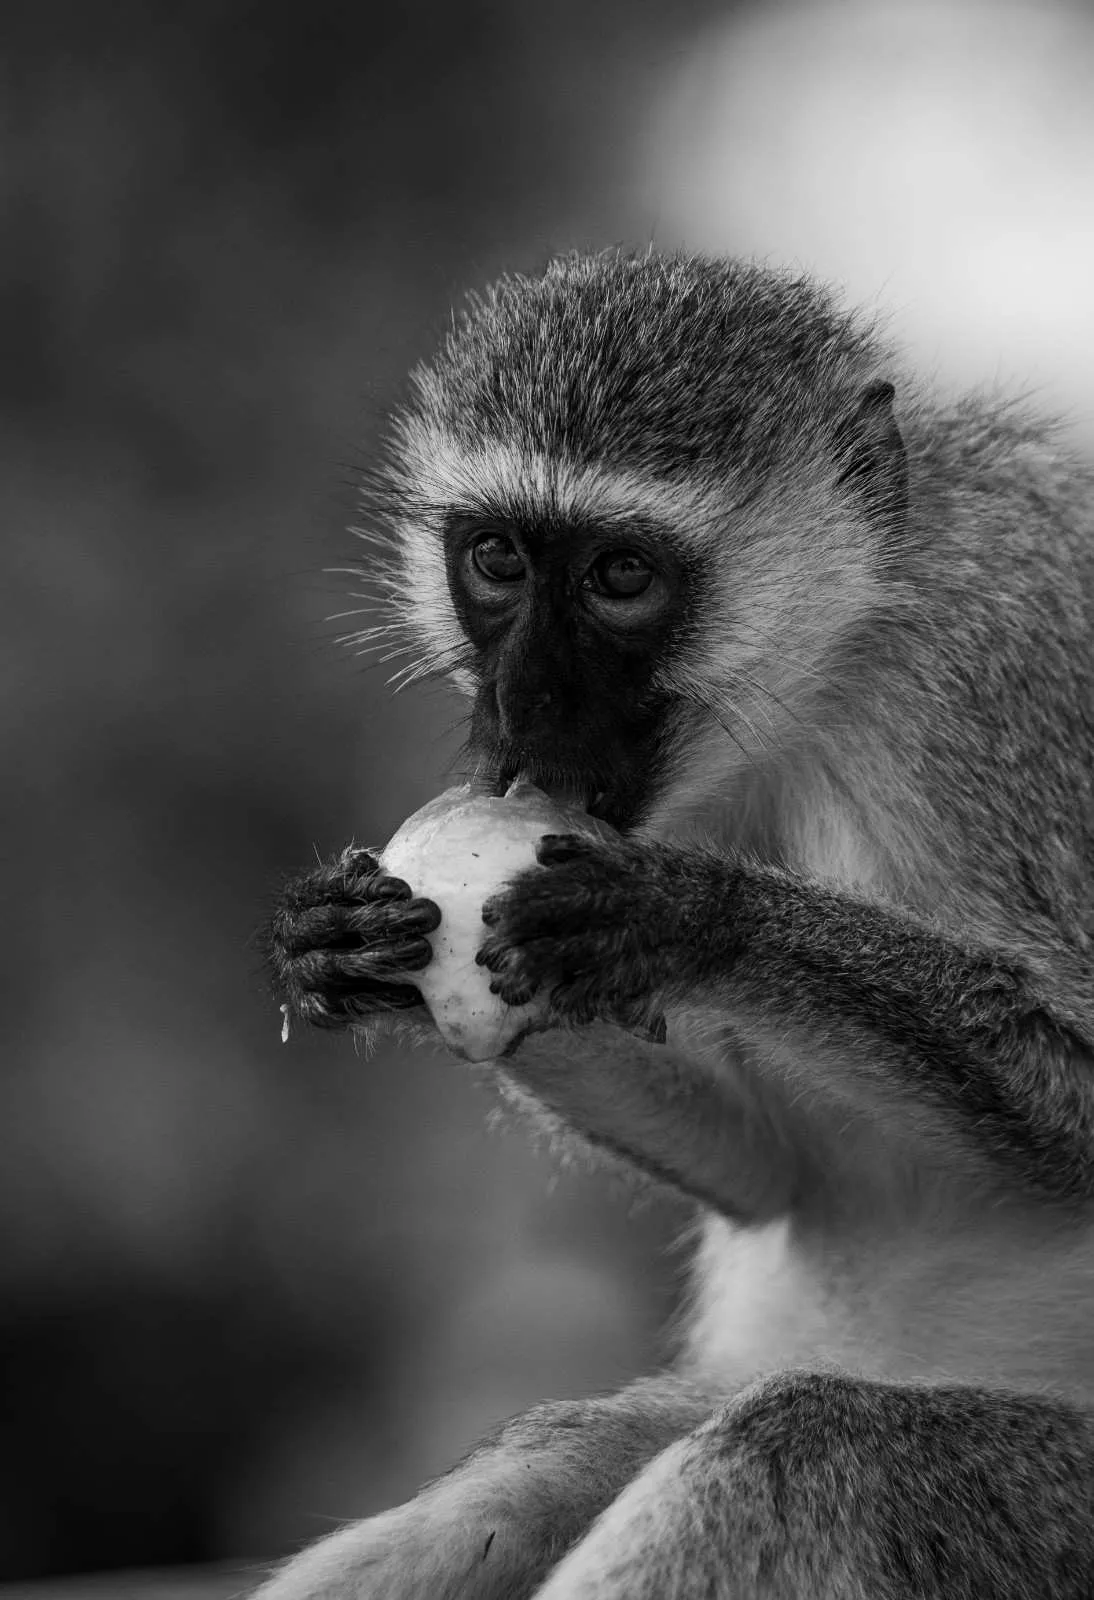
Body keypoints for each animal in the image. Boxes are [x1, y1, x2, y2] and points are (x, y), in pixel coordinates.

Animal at [257, 250, 1094, 1599]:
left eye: (619, 578)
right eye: (497, 559)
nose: (520, 704)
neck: (838, 659)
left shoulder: (1002, 682)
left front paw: (688, 915)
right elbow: (773, 1168)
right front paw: (336, 939)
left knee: (802, 1450)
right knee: (543, 1470)